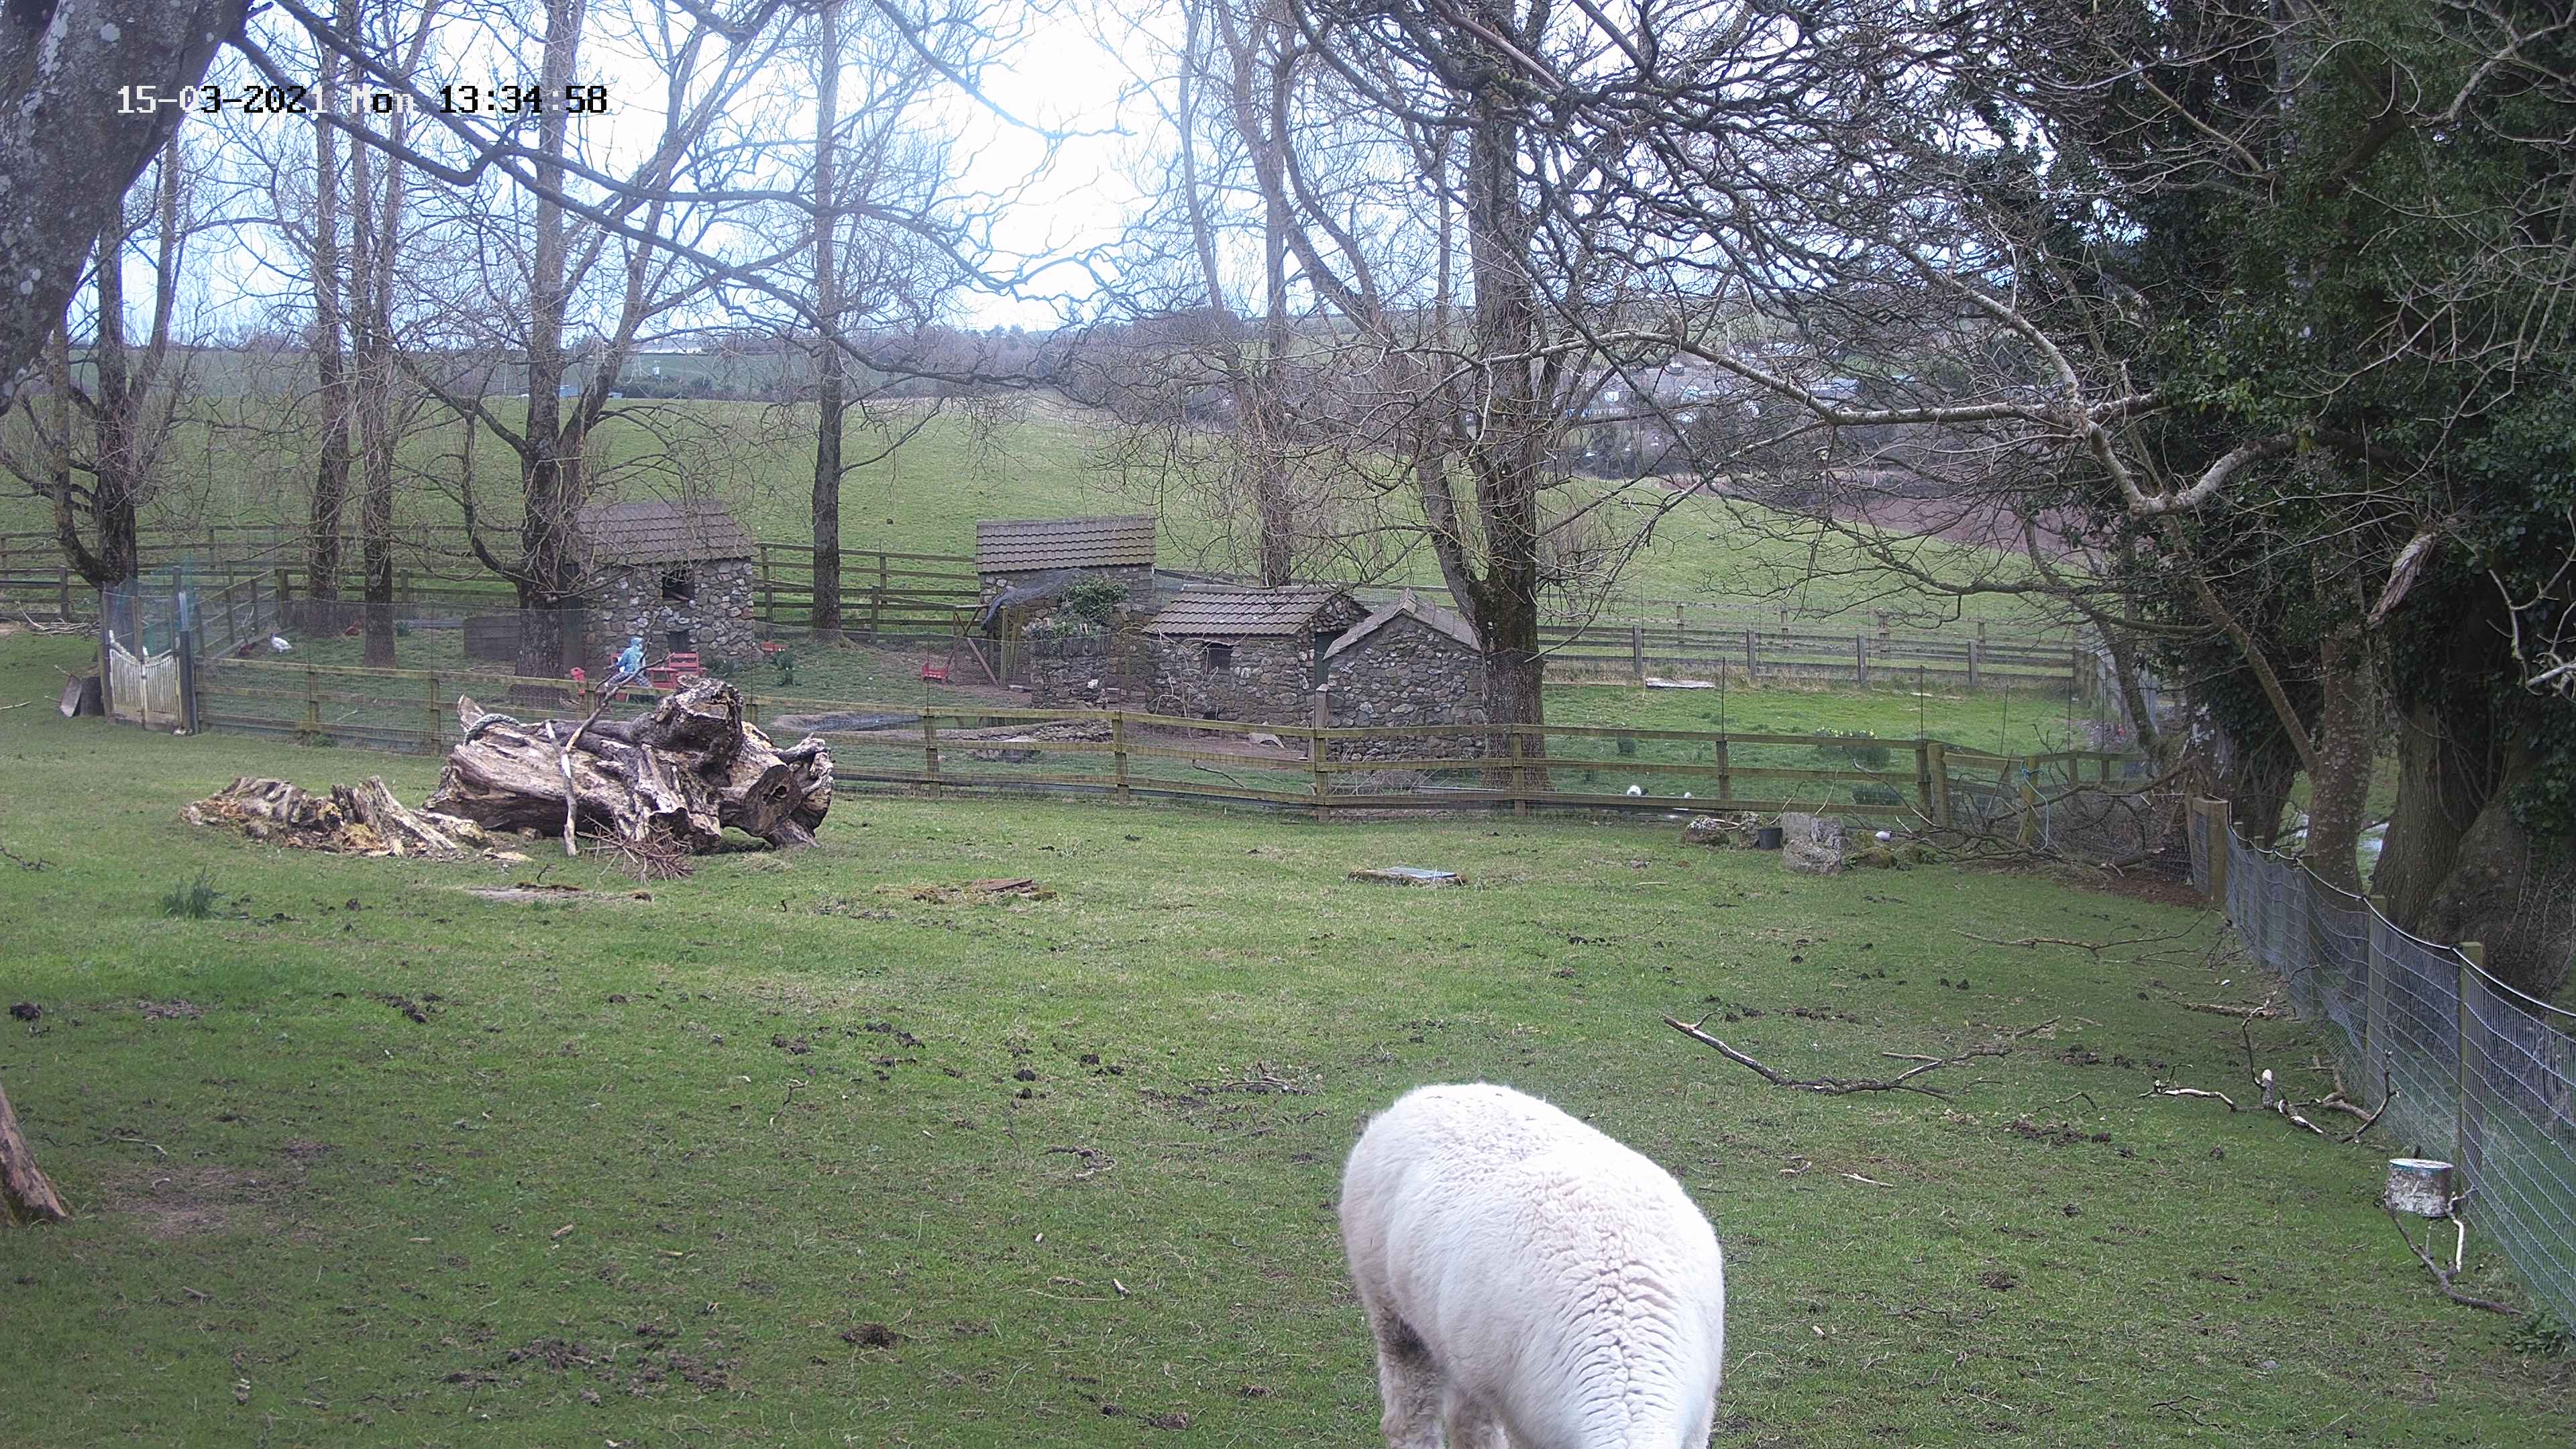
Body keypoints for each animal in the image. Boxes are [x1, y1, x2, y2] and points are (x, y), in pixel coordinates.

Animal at [1340, 1083, 1727, 1449]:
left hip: (1460, 1338)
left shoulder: (1698, 1421)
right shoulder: (1532, 1429)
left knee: (1469, 1417)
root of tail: (1423, 1095)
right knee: (1410, 1411)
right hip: (1390, 1307)